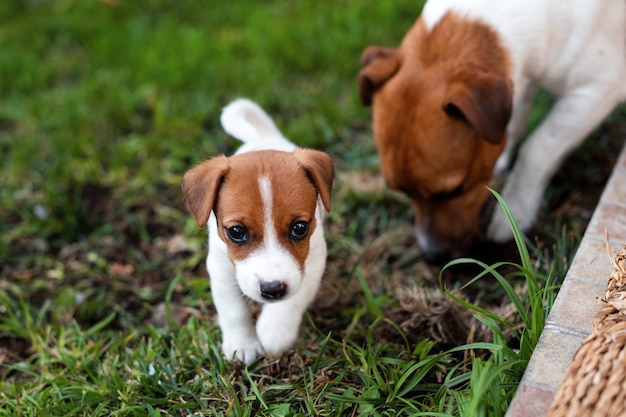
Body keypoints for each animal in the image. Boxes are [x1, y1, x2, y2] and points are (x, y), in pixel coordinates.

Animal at [183, 98, 334, 364]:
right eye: (236, 231)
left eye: (299, 228)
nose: (272, 289)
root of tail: (265, 135)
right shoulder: (220, 267)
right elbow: (233, 310)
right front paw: (241, 344)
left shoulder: (313, 261)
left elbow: (293, 299)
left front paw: (274, 331)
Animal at [356, 0, 624, 260]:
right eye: (401, 192)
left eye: (454, 190)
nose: (433, 256)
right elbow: (515, 120)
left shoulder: (596, 89)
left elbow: (537, 147)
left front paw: (514, 210)